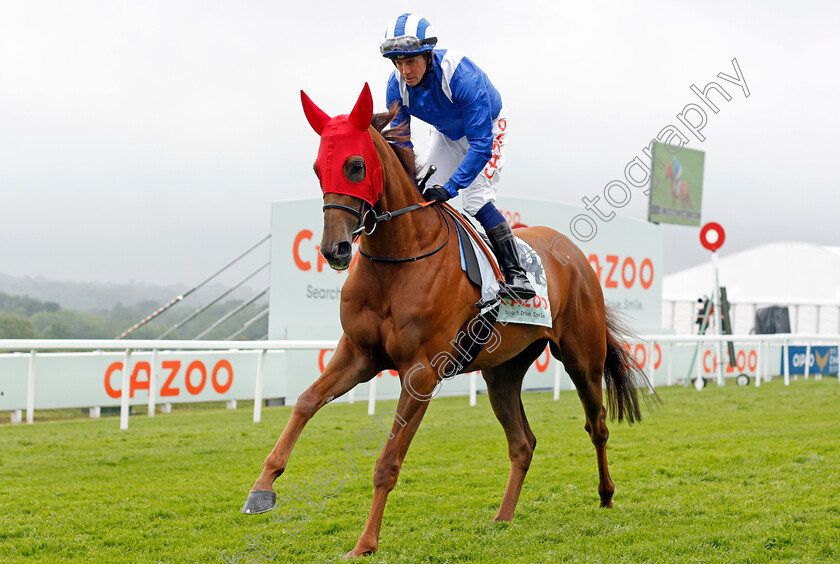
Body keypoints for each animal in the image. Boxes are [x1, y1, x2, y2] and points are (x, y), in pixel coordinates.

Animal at [243, 86, 656, 556]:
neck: (400, 256)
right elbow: (305, 402)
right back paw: (503, 517)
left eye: (356, 165)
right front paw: (262, 488)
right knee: (523, 443)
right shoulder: (358, 355)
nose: (335, 249)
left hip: (581, 358)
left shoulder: (421, 373)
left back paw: (606, 495)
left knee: (597, 424)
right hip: (502, 371)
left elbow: (387, 462)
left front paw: (365, 543)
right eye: (317, 169)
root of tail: (573, 254)